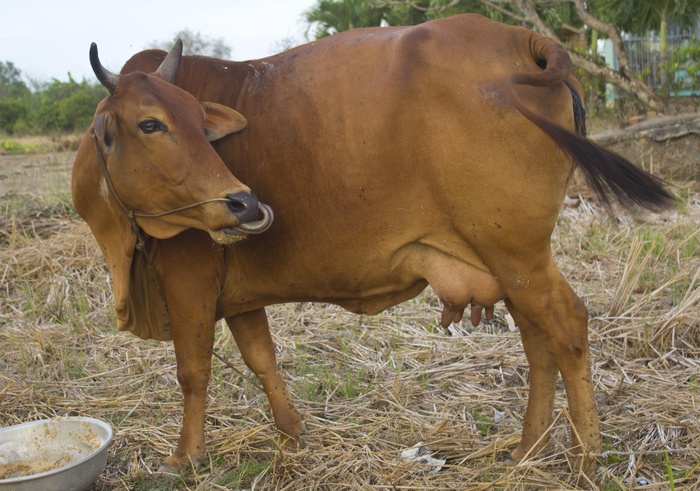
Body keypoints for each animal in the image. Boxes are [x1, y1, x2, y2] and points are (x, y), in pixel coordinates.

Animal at [72, 14, 672, 476]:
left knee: (567, 327)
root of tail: (525, 40)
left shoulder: (188, 280)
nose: (242, 203)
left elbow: (192, 371)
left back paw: (585, 460)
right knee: (537, 337)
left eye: (199, 121)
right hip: (512, 260)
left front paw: (185, 457)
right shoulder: (237, 293)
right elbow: (262, 360)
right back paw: (528, 448)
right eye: (151, 123)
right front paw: (291, 435)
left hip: (517, 252)